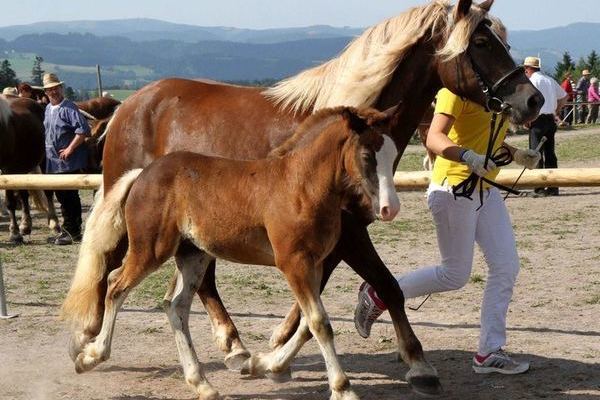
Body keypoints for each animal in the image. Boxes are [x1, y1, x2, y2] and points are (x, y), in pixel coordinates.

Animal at [69, 106, 398, 400]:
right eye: (367, 156)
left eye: (394, 154)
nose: (389, 208)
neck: (299, 185)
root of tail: (141, 175)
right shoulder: (294, 263)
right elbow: (319, 323)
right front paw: (343, 390)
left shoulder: (315, 264)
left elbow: (307, 323)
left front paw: (264, 365)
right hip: (151, 249)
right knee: (115, 285)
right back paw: (90, 356)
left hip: (193, 255)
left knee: (176, 306)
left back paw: (202, 384)